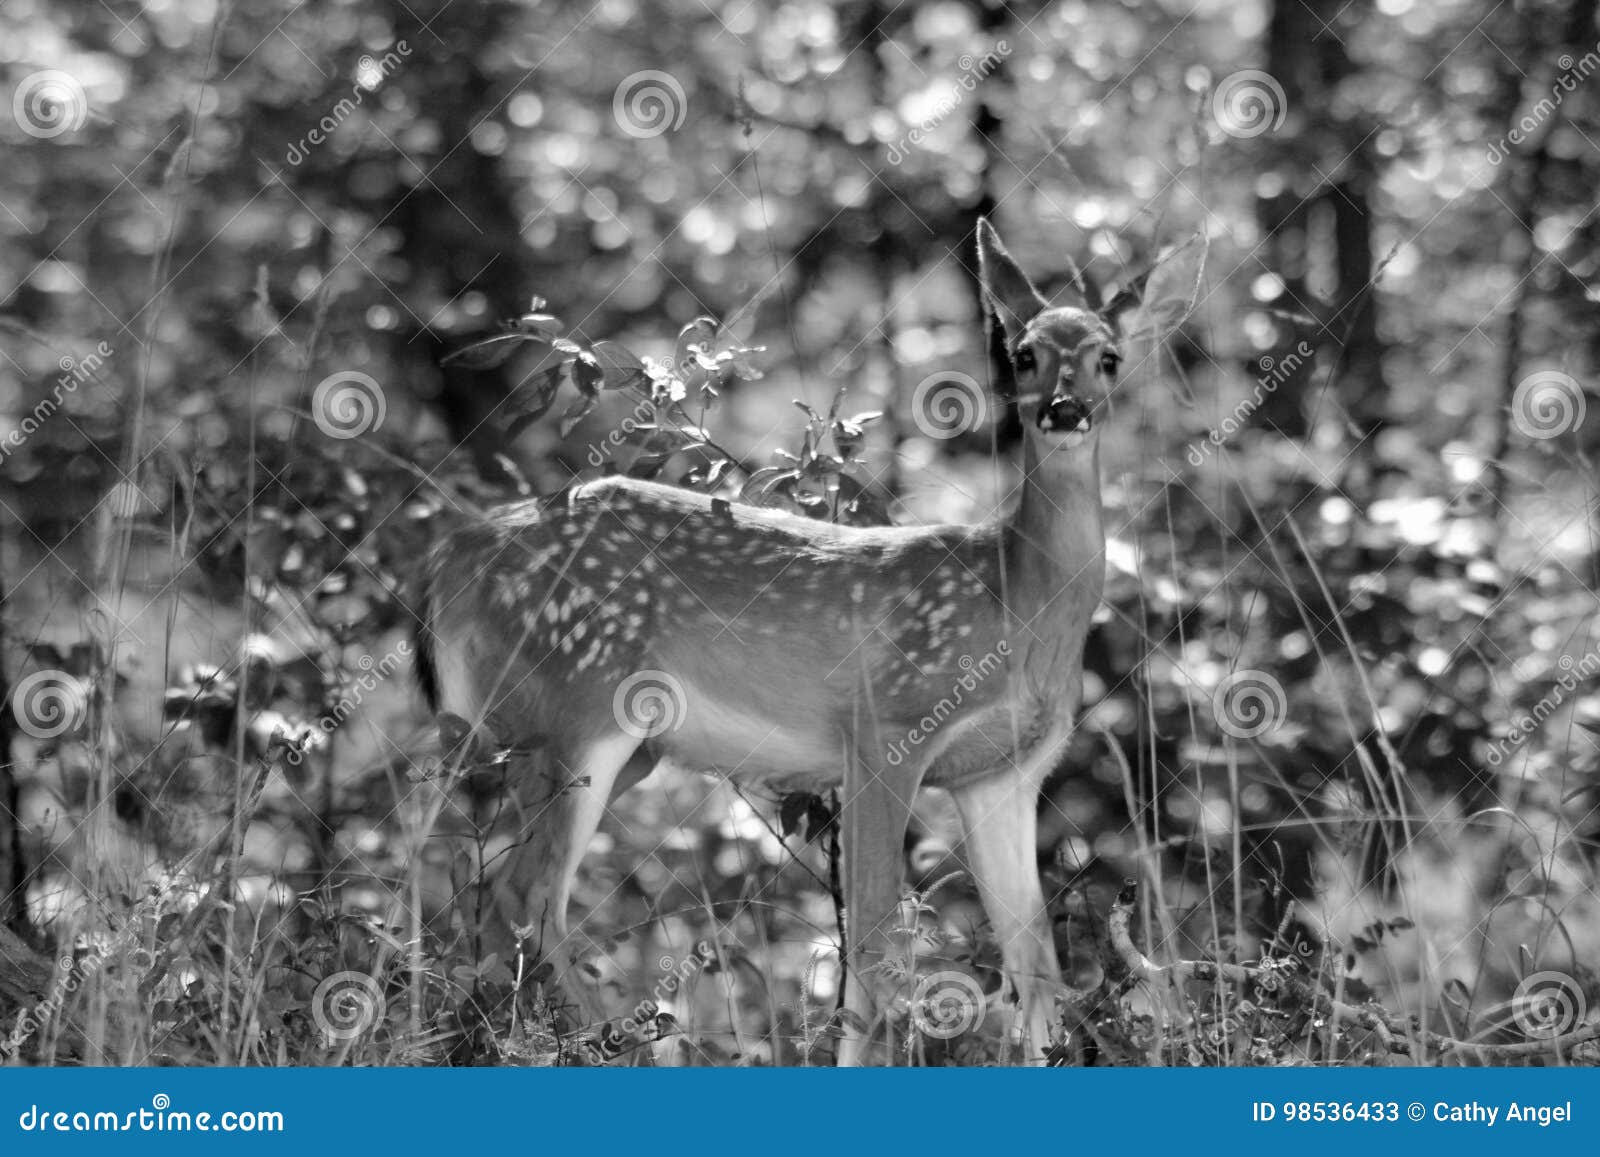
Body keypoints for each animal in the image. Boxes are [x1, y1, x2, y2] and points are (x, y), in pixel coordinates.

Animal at [416, 219, 1203, 1068]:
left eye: (1109, 357)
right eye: (1023, 353)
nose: (1063, 408)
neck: (1016, 605)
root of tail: (452, 556)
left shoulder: (1003, 773)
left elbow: (1037, 964)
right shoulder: (886, 728)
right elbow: (876, 944)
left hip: (612, 745)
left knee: (479, 883)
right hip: (578, 702)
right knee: (528, 894)